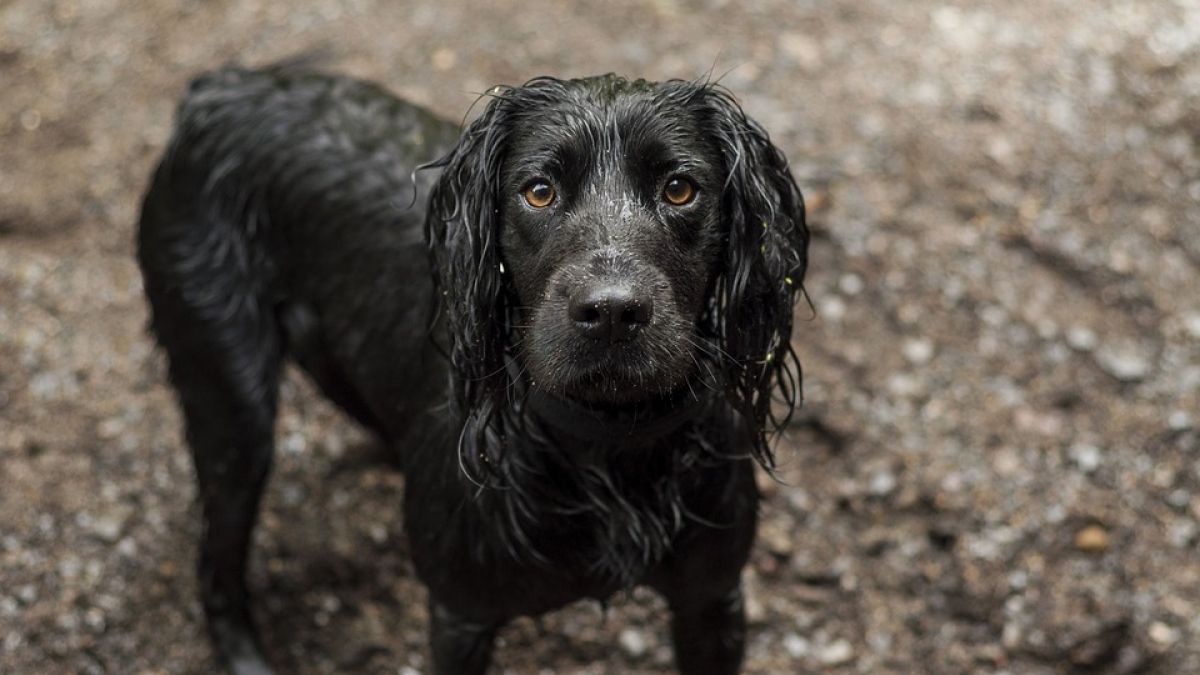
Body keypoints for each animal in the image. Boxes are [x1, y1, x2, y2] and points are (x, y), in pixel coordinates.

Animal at [136, 63, 806, 672]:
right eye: (539, 191)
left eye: (679, 189)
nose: (613, 312)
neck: (608, 447)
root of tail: (221, 86)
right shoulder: (461, 616)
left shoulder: (712, 600)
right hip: (231, 400)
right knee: (215, 570)